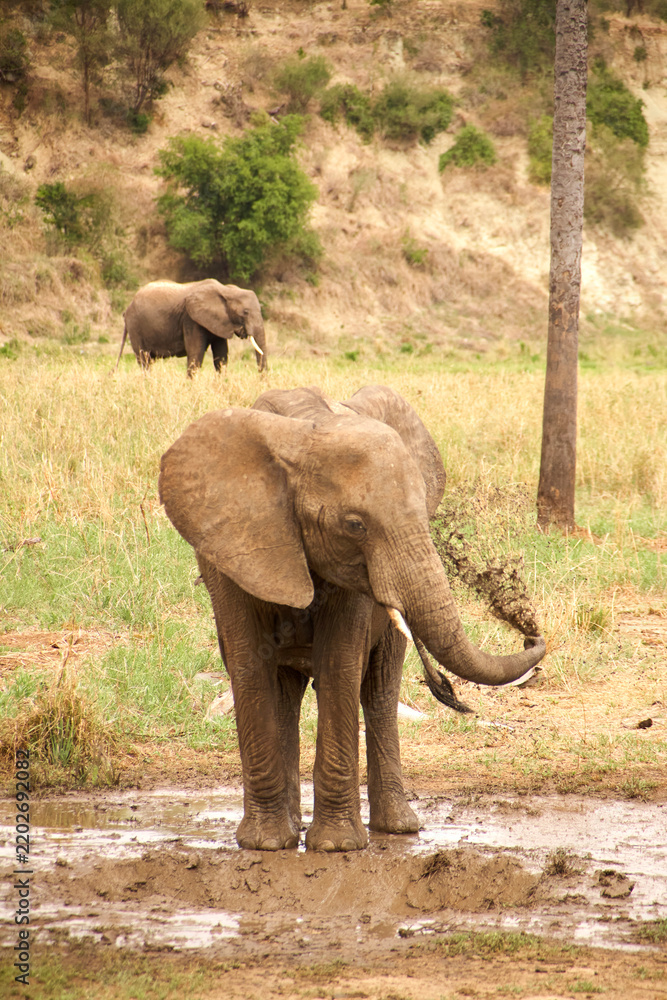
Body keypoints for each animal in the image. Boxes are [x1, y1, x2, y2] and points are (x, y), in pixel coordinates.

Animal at [115, 279, 267, 375]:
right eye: (245, 312)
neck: (226, 290)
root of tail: (127, 308)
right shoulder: (190, 319)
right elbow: (196, 353)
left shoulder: (220, 322)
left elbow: (221, 356)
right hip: (135, 326)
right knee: (144, 359)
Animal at [158, 385, 546, 852]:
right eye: (355, 525)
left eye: (425, 514)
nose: (529, 633)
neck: (303, 433)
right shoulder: (233, 548)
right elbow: (248, 665)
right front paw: (266, 845)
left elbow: (339, 665)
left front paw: (336, 846)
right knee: (285, 692)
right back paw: (292, 829)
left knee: (379, 689)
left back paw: (397, 828)